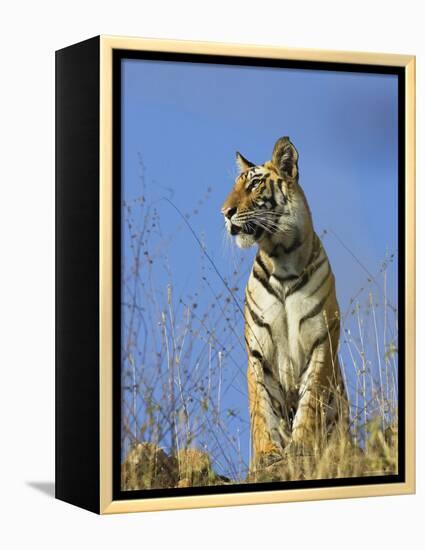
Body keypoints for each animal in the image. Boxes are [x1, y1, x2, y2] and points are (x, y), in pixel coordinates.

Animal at [220, 136, 346, 468]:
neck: (283, 256)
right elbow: (262, 408)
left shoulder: (320, 341)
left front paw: (300, 448)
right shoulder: (258, 350)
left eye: (254, 185)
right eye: (235, 186)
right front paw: (267, 455)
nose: (224, 212)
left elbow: (310, 402)